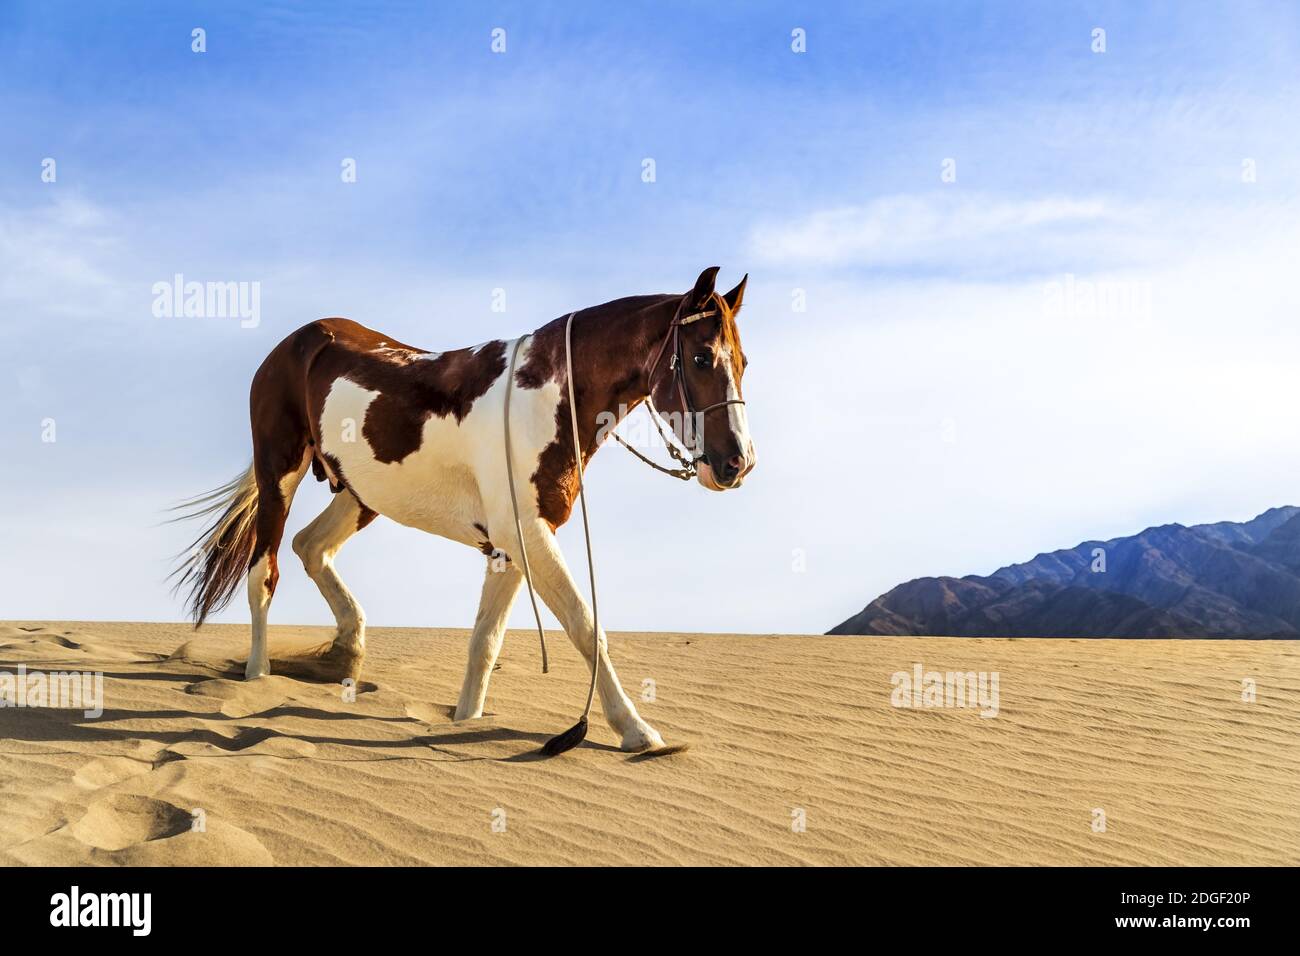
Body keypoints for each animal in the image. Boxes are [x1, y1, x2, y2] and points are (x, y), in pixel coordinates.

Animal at [176, 267, 759, 754]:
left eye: (744, 363)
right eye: (702, 358)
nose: (738, 463)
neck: (547, 397)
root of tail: (296, 341)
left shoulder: (510, 544)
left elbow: (486, 638)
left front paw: (464, 720)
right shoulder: (528, 534)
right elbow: (585, 625)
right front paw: (636, 730)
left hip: (360, 495)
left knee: (311, 547)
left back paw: (347, 650)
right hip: (280, 474)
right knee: (264, 572)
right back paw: (258, 676)